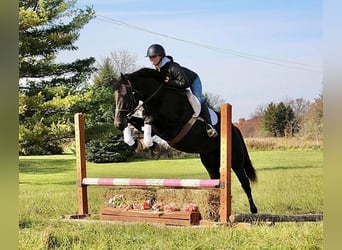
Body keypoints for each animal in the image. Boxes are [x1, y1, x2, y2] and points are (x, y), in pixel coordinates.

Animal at [113, 67, 258, 213]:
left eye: (126, 95)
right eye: (115, 95)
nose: (118, 123)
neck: (159, 98)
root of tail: (234, 128)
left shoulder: (170, 128)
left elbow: (149, 121)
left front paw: (153, 146)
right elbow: (134, 121)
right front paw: (135, 143)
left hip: (235, 160)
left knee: (245, 182)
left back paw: (253, 210)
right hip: (209, 160)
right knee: (216, 180)